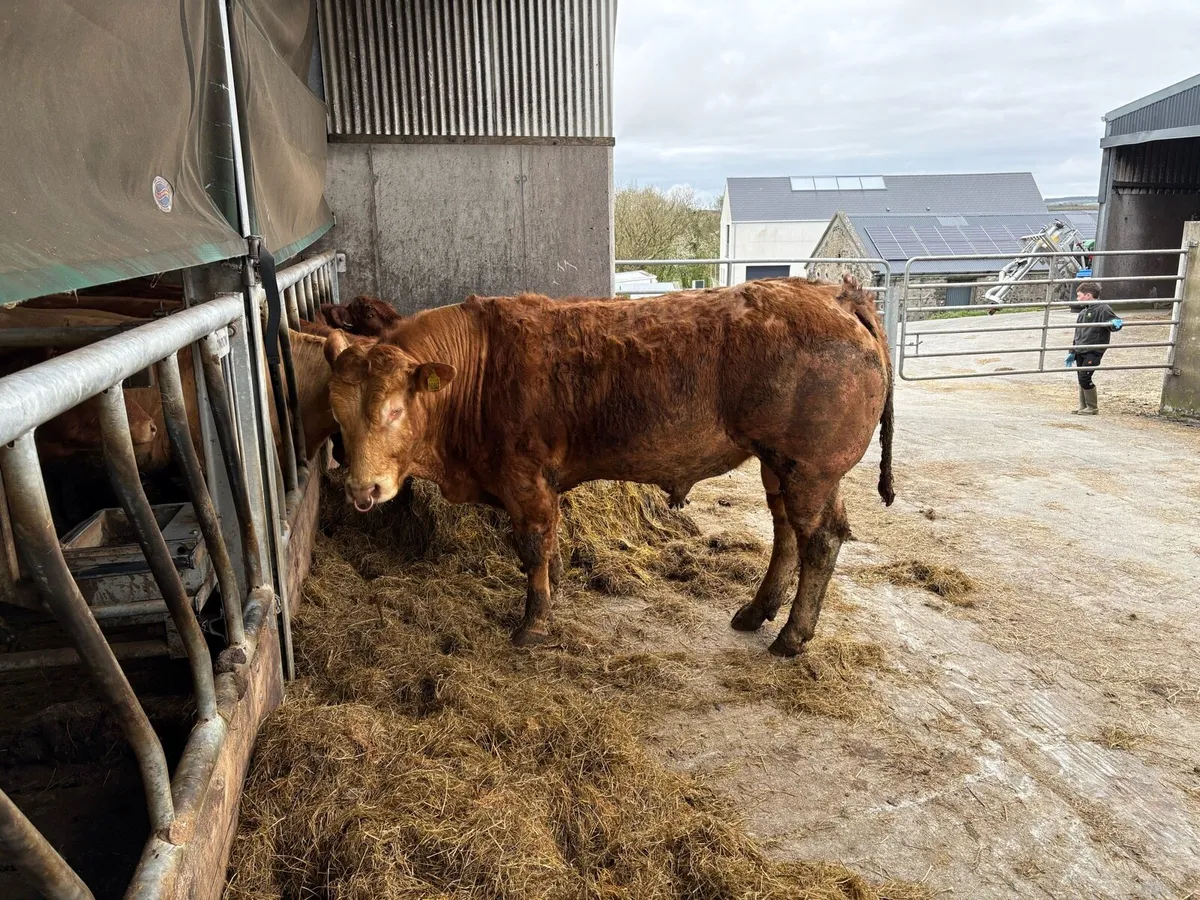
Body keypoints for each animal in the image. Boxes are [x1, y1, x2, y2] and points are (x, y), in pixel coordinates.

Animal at [324, 275, 895, 657]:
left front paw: (533, 624)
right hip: (780, 467)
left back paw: (792, 636)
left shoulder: (525, 480)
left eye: (394, 410)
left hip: (810, 469)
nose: (362, 489)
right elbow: (549, 548)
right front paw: (553, 592)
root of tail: (837, 294)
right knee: (786, 533)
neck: (480, 369)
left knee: (820, 539)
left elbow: (532, 546)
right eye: (338, 412)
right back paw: (757, 611)